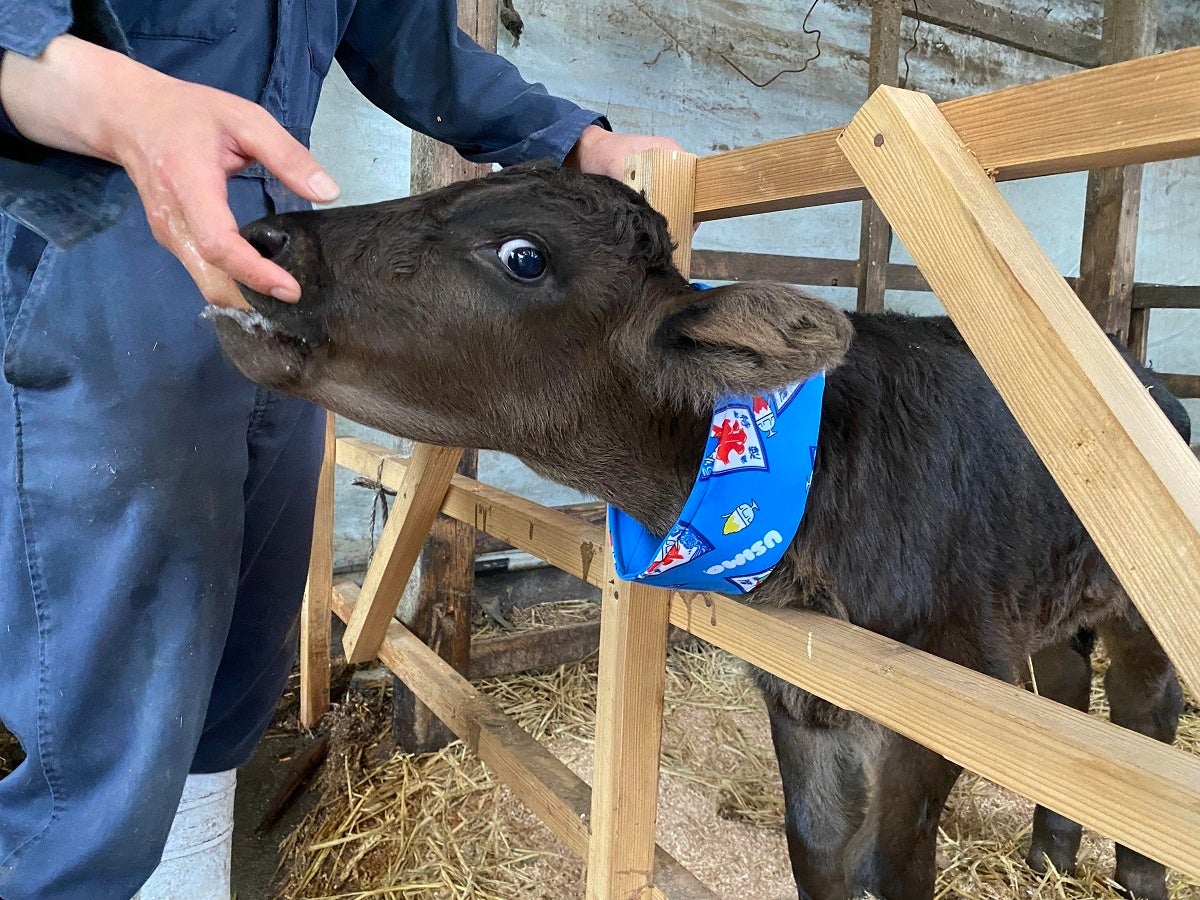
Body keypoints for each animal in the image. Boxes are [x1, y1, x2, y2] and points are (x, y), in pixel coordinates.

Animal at [208, 161, 1189, 900]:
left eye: (523, 254)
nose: (267, 240)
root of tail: (1147, 377)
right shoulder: (799, 691)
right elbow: (819, 852)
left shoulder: (949, 685)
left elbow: (891, 863)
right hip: (1051, 596)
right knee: (1069, 680)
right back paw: (1049, 855)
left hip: (1135, 605)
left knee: (1144, 707)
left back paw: (1136, 876)